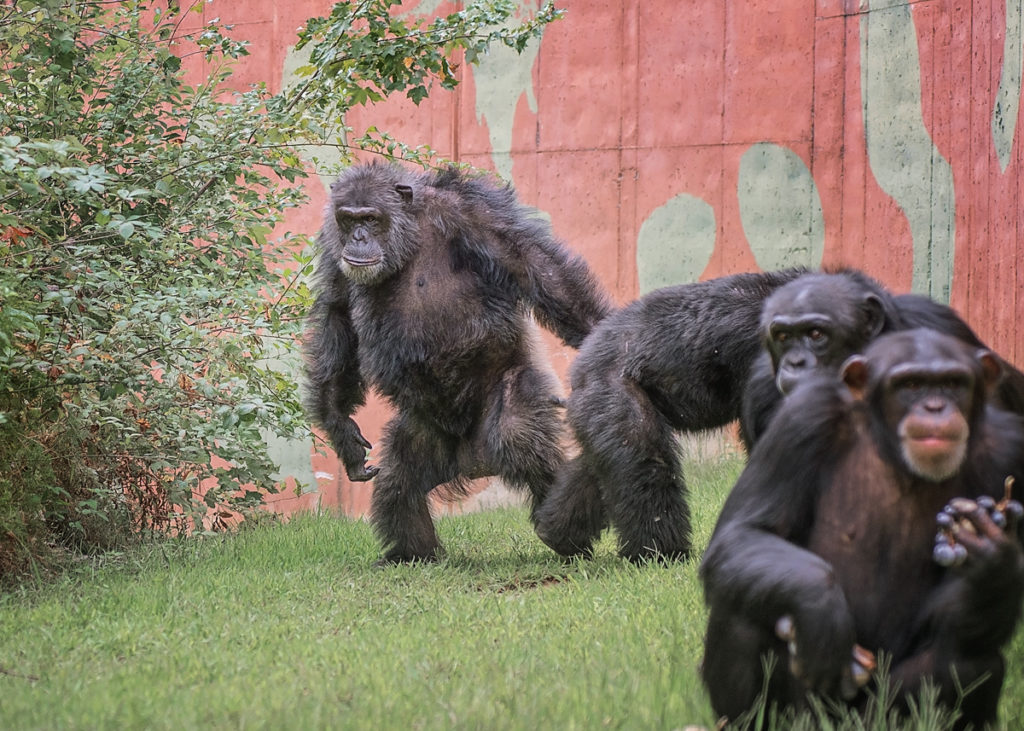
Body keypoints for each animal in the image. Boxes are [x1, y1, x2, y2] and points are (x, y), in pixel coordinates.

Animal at [303, 163, 606, 565]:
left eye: (370, 218)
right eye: (348, 218)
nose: (358, 237)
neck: (410, 234)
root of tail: (477, 463)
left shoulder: (472, 214)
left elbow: (533, 265)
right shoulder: (332, 251)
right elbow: (338, 314)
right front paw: (340, 428)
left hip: (513, 392)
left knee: (521, 438)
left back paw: (564, 533)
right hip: (427, 431)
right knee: (400, 476)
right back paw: (410, 554)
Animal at [532, 268, 802, 556]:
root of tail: (588, 348)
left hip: (596, 410)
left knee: (599, 464)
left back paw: (559, 534)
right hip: (613, 392)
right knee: (644, 463)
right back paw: (661, 550)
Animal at [700, 329, 1024, 728]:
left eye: (953, 383)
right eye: (910, 384)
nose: (934, 407)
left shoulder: (1011, 451)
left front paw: (993, 559)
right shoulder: (804, 419)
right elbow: (744, 532)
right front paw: (822, 611)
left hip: (879, 714)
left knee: (972, 657)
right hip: (805, 712)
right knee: (741, 611)